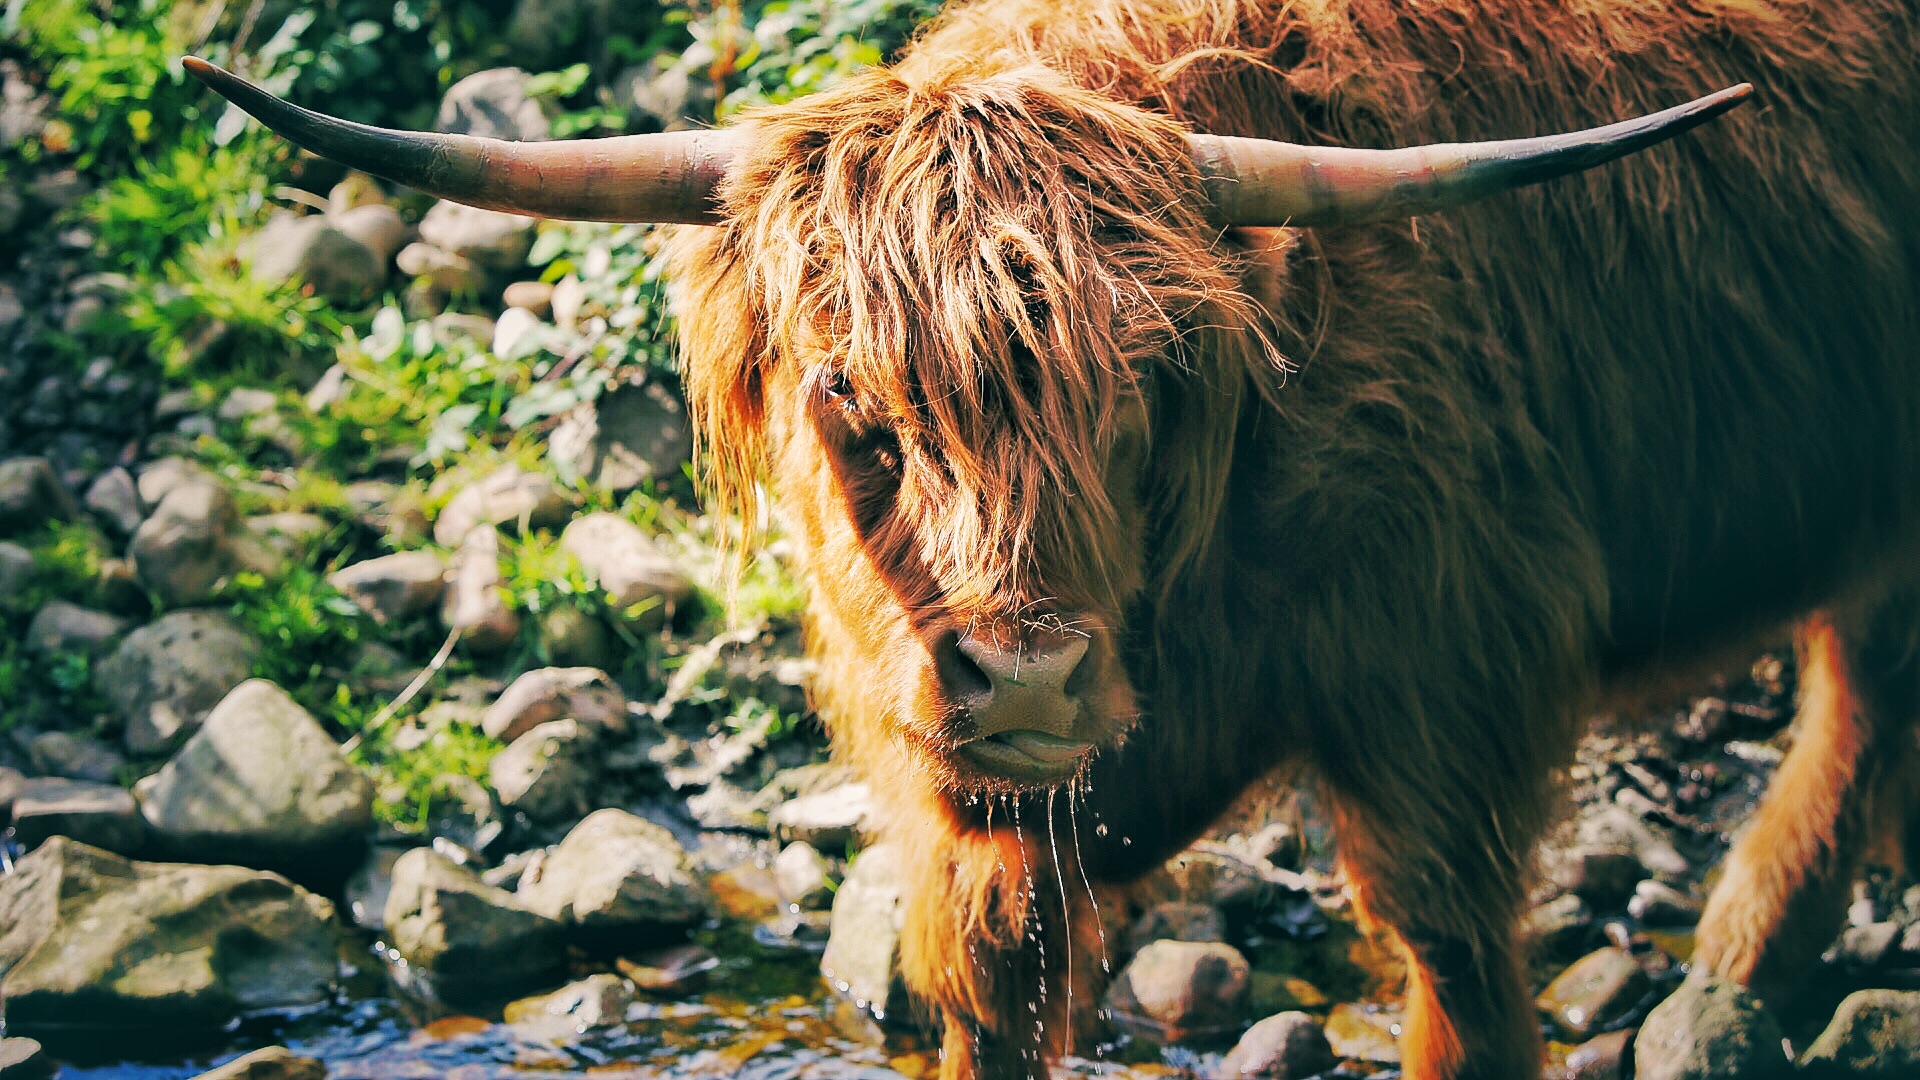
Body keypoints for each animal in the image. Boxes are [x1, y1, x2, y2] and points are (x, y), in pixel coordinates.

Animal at [187, 0, 1920, 1068]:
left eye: (1148, 381)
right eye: (849, 395)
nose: (1022, 680)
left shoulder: (1448, 699)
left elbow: (1458, 981)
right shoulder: (989, 833)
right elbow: (992, 994)